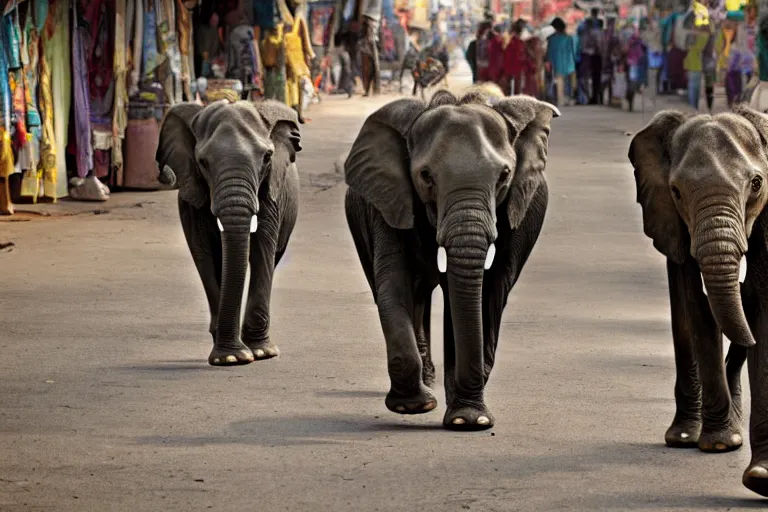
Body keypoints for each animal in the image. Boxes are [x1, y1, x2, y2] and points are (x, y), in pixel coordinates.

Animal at [154, 99, 302, 364]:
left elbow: (263, 249)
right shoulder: (192, 198)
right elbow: (204, 255)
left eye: (267, 157)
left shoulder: (271, 192)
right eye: (203, 162)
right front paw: (230, 357)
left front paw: (262, 352)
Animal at [344, 90, 560, 430]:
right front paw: (414, 407)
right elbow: (393, 280)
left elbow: (487, 290)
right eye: (426, 176)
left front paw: (470, 420)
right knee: (411, 291)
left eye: (504, 176)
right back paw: (428, 384)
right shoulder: (389, 199)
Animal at [628, 107, 768, 496]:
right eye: (676, 191)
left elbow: (762, 308)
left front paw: (760, 475)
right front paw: (720, 443)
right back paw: (685, 436)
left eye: (756, 184)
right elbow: (699, 307)